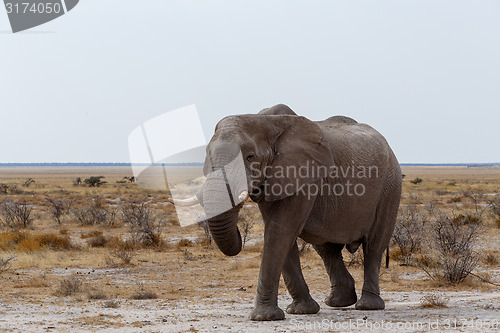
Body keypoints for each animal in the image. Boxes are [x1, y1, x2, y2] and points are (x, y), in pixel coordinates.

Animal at [172, 103, 402, 320]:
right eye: (207, 157)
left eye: (250, 157)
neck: (265, 120)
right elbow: (282, 236)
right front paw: (301, 311)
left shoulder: (302, 175)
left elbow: (280, 231)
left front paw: (264, 317)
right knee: (327, 249)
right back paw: (338, 302)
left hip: (390, 186)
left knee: (373, 246)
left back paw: (368, 305)